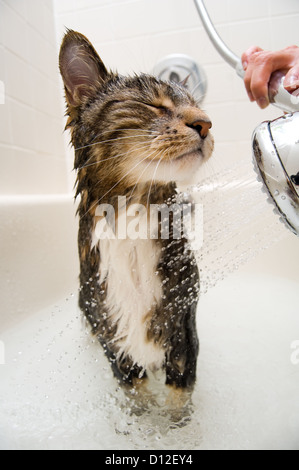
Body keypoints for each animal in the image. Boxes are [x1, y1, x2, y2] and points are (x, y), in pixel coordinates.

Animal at [59, 30, 213, 392]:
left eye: (197, 106)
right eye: (152, 104)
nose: (206, 123)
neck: (134, 215)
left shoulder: (183, 322)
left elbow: (178, 395)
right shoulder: (112, 337)